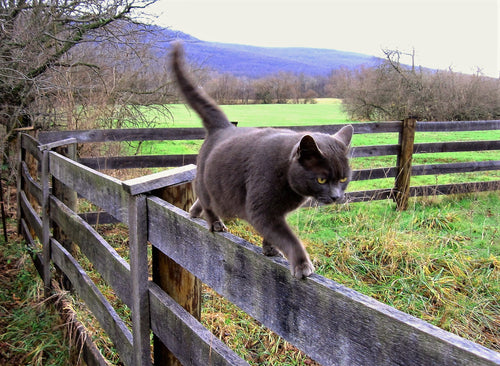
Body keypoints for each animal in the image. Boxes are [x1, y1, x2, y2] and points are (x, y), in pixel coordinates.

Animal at [172, 43, 356, 278]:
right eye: (322, 180)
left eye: (343, 179)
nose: (335, 197)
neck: (289, 184)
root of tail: (224, 127)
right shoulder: (262, 211)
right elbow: (287, 237)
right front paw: (302, 265)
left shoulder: (277, 213)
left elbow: (274, 235)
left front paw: (270, 249)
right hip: (206, 180)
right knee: (207, 202)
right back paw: (215, 224)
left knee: (204, 202)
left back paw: (194, 213)